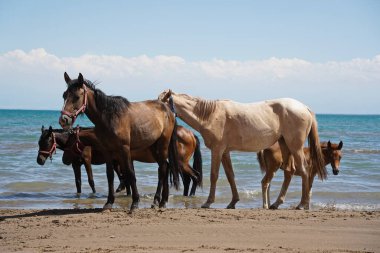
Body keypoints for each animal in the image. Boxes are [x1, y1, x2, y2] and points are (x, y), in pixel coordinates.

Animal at [59, 72, 181, 211]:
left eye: (77, 96)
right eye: (64, 95)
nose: (63, 120)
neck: (109, 118)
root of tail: (169, 110)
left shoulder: (125, 149)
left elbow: (130, 173)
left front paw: (135, 202)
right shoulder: (107, 150)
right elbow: (110, 175)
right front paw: (109, 202)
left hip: (162, 144)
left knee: (162, 170)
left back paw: (158, 201)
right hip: (153, 147)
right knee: (164, 167)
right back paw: (161, 201)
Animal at [63, 125, 203, 197]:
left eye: (69, 142)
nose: (64, 160)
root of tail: (191, 134)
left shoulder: (122, 159)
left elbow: (127, 176)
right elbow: (128, 176)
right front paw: (127, 192)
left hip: (181, 162)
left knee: (195, 176)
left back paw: (191, 195)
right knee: (188, 179)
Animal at [159, 89, 326, 210]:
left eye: (161, 103)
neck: (210, 115)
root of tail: (305, 108)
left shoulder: (217, 150)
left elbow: (214, 175)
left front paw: (208, 202)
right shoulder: (225, 152)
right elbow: (230, 176)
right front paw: (233, 202)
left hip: (295, 147)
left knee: (304, 170)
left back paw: (302, 204)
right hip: (285, 144)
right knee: (289, 171)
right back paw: (276, 204)